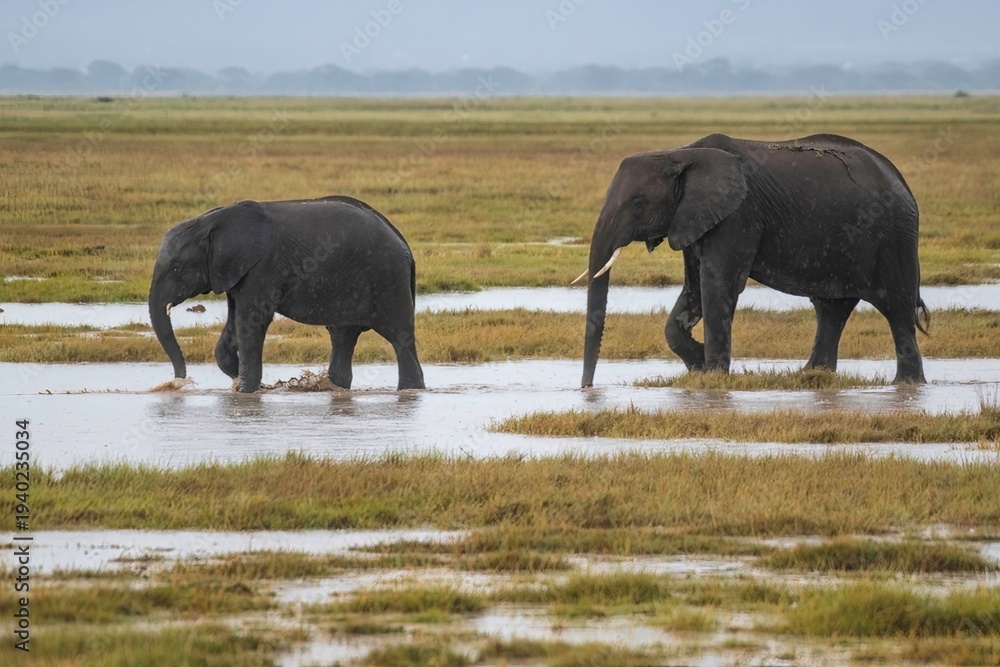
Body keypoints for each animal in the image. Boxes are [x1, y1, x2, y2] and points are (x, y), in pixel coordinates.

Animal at [149, 195, 425, 393]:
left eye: (177, 268)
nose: (178, 382)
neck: (210, 221)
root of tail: (405, 245)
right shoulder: (236, 273)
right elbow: (236, 322)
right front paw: (245, 383)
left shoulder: (264, 267)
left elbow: (253, 323)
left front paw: (247, 392)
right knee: (343, 335)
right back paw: (335, 387)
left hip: (388, 280)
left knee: (399, 338)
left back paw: (410, 390)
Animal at [574, 133, 929, 387]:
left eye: (637, 204)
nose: (587, 389)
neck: (682, 154)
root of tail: (900, 179)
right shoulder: (693, 218)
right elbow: (694, 288)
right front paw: (700, 366)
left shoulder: (738, 215)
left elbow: (718, 285)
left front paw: (714, 377)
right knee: (831, 310)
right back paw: (812, 376)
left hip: (894, 238)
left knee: (897, 309)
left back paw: (906, 385)